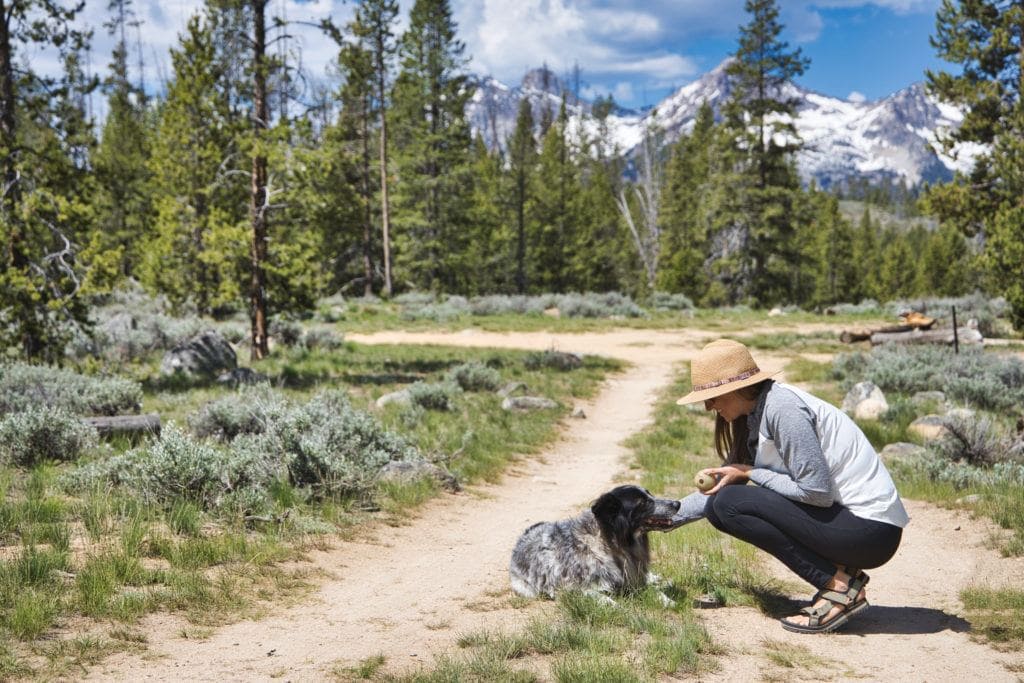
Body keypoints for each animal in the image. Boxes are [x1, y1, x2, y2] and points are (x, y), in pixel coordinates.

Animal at [509, 483, 684, 602]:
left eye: (650, 495)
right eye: (643, 503)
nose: (677, 503)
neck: (609, 542)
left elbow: (651, 588)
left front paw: (666, 599)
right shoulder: (573, 590)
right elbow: (604, 598)